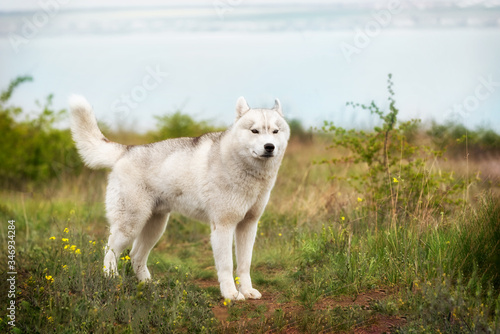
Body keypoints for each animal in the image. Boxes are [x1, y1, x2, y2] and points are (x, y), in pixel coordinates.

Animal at [69, 95, 290, 302]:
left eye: (275, 131)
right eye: (254, 131)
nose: (269, 147)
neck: (247, 171)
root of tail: (126, 150)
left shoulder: (248, 225)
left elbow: (244, 264)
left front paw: (247, 291)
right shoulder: (223, 226)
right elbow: (227, 265)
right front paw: (231, 294)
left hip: (155, 227)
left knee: (135, 256)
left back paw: (148, 285)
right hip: (129, 227)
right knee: (109, 252)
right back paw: (111, 280)